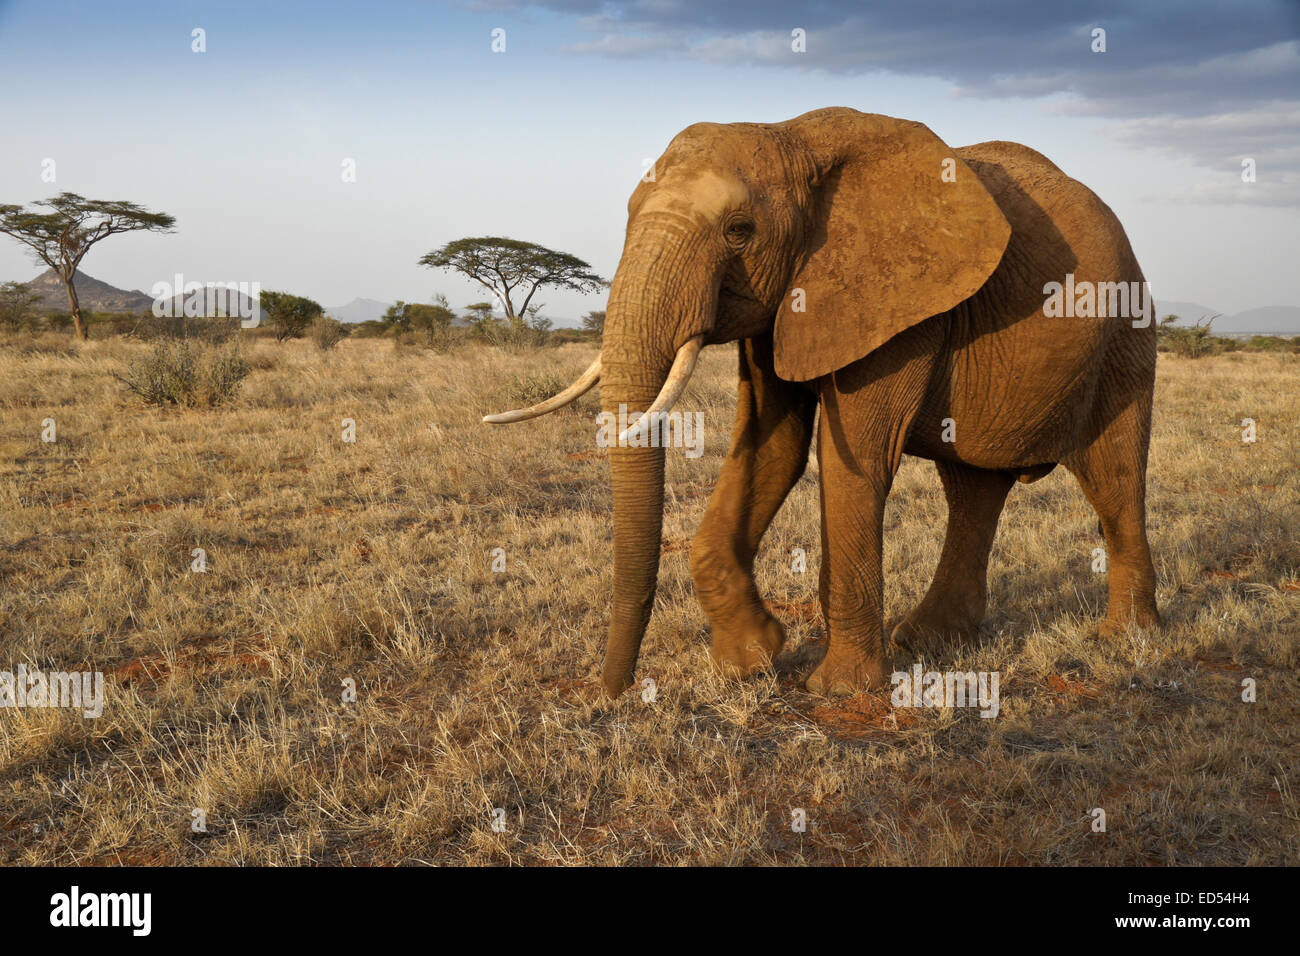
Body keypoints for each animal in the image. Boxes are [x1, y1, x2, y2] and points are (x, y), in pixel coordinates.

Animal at [486, 106, 1159, 702]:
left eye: (738, 230)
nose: (612, 693)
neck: (792, 135)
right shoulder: (785, 305)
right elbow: (769, 447)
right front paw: (750, 660)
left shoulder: (894, 301)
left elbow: (855, 461)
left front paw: (840, 689)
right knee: (972, 489)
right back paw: (931, 642)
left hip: (1125, 335)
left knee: (1115, 478)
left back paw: (1128, 640)